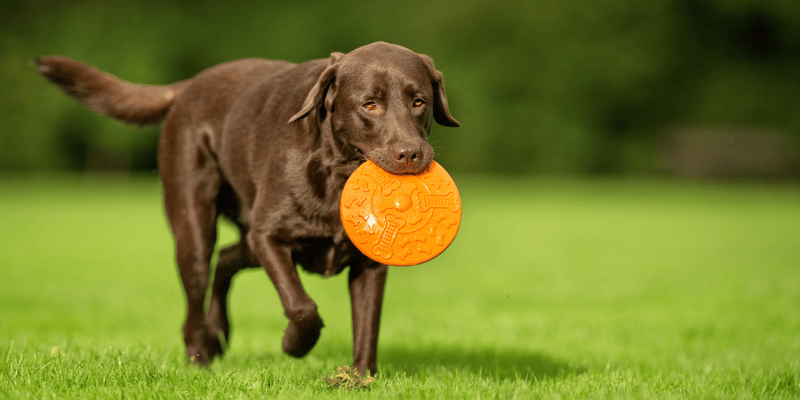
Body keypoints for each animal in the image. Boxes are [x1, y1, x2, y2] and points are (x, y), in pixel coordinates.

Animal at [37, 41, 460, 376]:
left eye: (419, 101)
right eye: (369, 104)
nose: (411, 154)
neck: (337, 173)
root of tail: (188, 86)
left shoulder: (368, 263)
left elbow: (368, 324)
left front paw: (359, 379)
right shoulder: (269, 236)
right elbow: (301, 306)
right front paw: (294, 344)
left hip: (245, 239)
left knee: (226, 259)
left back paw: (219, 333)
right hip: (196, 226)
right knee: (197, 290)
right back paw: (200, 354)